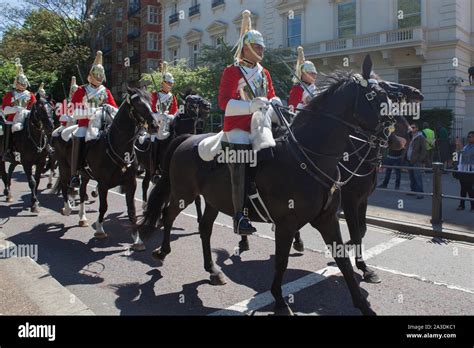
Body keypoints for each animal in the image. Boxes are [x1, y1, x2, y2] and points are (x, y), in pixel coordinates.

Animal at [53, 87, 154, 239]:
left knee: (82, 192)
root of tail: (61, 130)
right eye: (138, 103)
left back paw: (82, 218)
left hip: (85, 174)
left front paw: (137, 238)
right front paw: (100, 229)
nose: (155, 125)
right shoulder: (103, 184)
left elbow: (132, 209)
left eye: (150, 101)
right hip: (64, 167)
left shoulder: (131, 182)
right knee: (65, 185)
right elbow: (104, 206)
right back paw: (67, 208)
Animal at [138, 55, 388, 316]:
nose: (390, 132)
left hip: (214, 200)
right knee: (167, 215)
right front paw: (279, 300)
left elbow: (343, 261)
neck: (308, 155)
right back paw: (162, 252)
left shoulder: (327, 220)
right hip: (182, 193)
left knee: (205, 228)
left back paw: (213, 270)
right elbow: (281, 261)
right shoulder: (286, 224)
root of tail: (188, 139)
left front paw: (364, 303)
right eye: (373, 96)